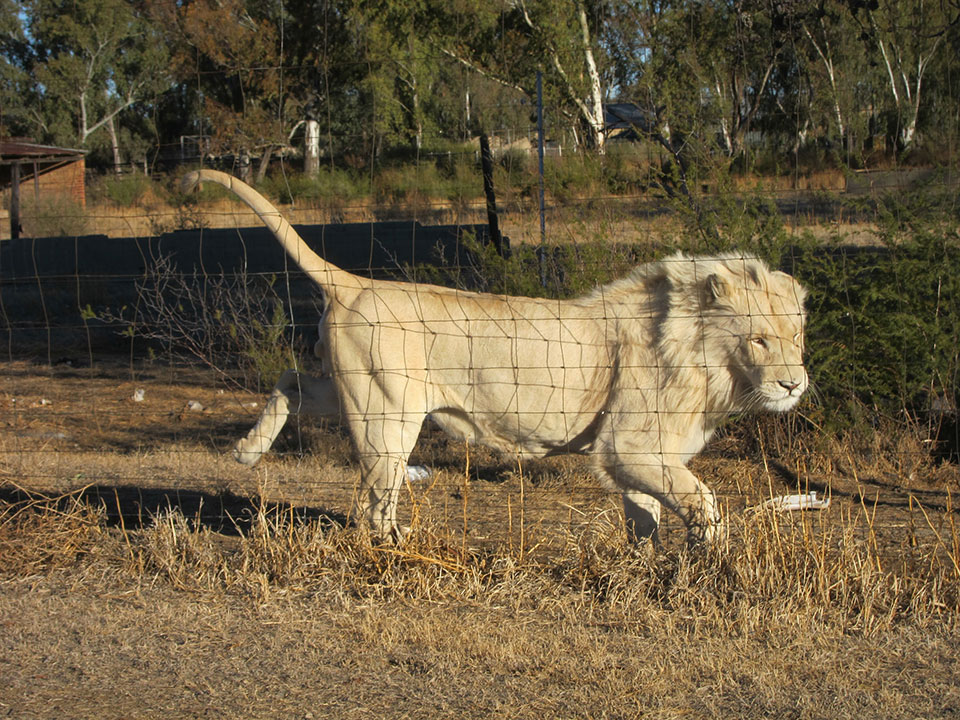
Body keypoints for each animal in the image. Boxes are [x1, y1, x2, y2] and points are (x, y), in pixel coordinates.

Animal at [182, 170, 808, 544]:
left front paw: (648, 567)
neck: (707, 358)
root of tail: (355, 283)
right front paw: (715, 556)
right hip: (387, 415)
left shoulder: (643, 453)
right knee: (375, 498)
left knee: (291, 380)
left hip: (353, 391)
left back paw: (246, 450)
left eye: (796, 337)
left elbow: (646, 515)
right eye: (760, 340)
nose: (794, 385)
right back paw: (396, 548)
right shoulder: (626, 444)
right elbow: (699, 496)